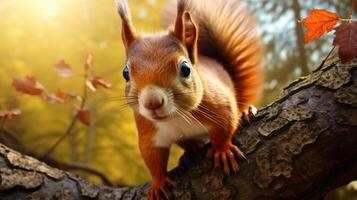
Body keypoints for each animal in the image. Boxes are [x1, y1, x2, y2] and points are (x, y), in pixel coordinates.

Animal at [115, 0, 262, 198]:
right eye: (125, 73)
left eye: (185, 69)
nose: (152, 102)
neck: (176, 116)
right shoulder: (148, 130)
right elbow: (152, 157)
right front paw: (158, 183)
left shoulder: (218, 105)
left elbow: (224, 125)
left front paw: (222, 150)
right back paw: (189, 152)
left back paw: (246, 112)